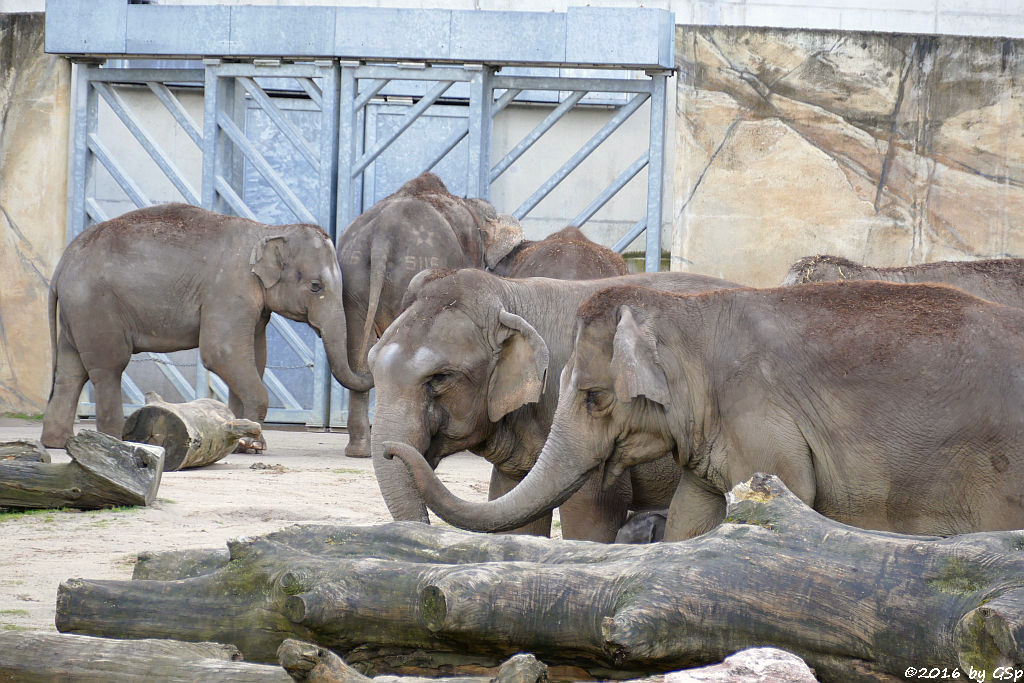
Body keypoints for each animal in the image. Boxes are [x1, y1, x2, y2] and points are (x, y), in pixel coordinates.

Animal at [44, 202, 374, 448]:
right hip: (96, 306)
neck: (268, 231)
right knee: (108, 367)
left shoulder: (254, 306)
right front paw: (251, 443)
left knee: (71, 370)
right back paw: (114, 441)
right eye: (316, 286)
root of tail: (61, 264)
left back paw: (57, 443)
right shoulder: (229, 290)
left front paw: (242, 439)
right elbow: (222, 353)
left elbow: (255, 358)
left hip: (78, 312)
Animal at [364, 266, 741, 540]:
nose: (390, 450)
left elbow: (592, 512)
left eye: (439, 378)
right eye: (372, 365)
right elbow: (514, 510)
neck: (511, 293)